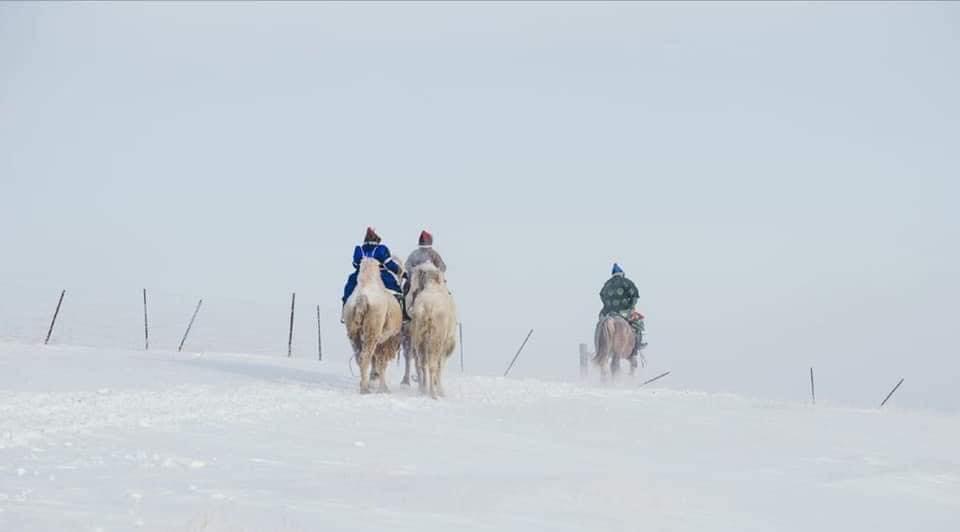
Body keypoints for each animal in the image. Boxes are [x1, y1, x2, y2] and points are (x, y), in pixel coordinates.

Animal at [344, 256, 404, 392]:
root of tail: (361, 299)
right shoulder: (389, 340)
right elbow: (382, 362)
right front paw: (384, 388)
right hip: (373, 329)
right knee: (366, 356)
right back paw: (365, 389)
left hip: (353, 332)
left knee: (359, 357)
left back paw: (364, 385)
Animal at [404, 264, 458, 396]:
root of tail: (428, 307)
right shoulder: (446, 344)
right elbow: (440, 366)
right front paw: (440, 390)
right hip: (436, 339)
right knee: (433, 365)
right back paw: (434, 394)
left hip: (419, 338)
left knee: (422, 364)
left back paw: (424, 389)